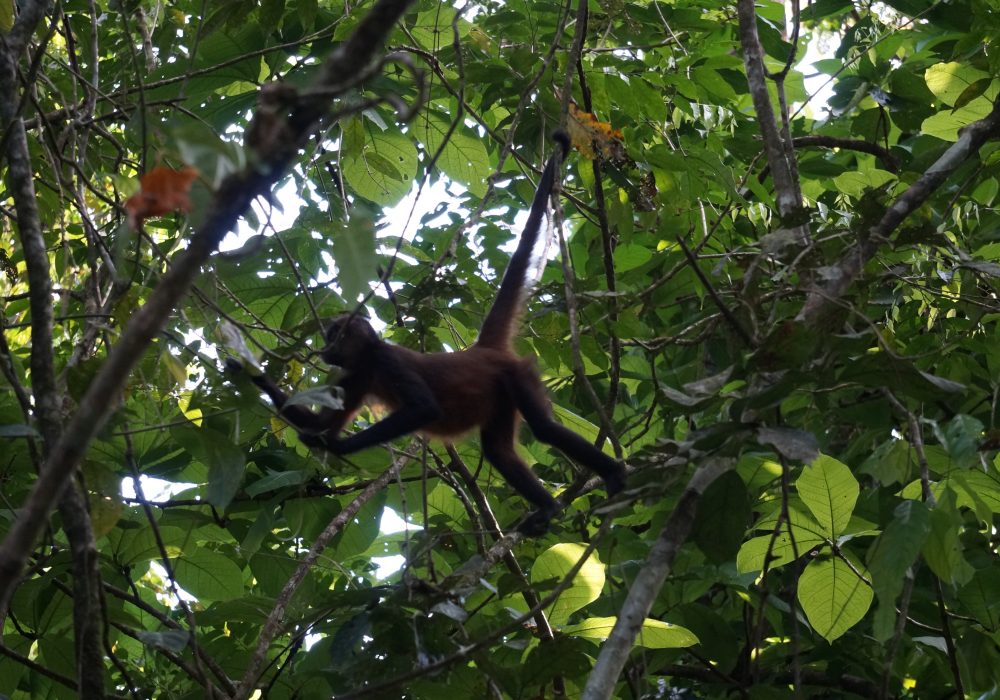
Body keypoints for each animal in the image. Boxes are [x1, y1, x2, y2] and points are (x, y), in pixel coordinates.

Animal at [231, 131, 628, 532]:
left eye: (333, 337)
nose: (324, 351)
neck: (370, 358)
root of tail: (480, 350)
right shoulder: (357, 374)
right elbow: (323, 419)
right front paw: (248, 371)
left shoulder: (386, 361)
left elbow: (424, 408)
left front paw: (337, 446)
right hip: (500, 395)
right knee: (498, 451)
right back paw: (547, 507)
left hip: (516, 375)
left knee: (544, 429)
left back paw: (612, 473)